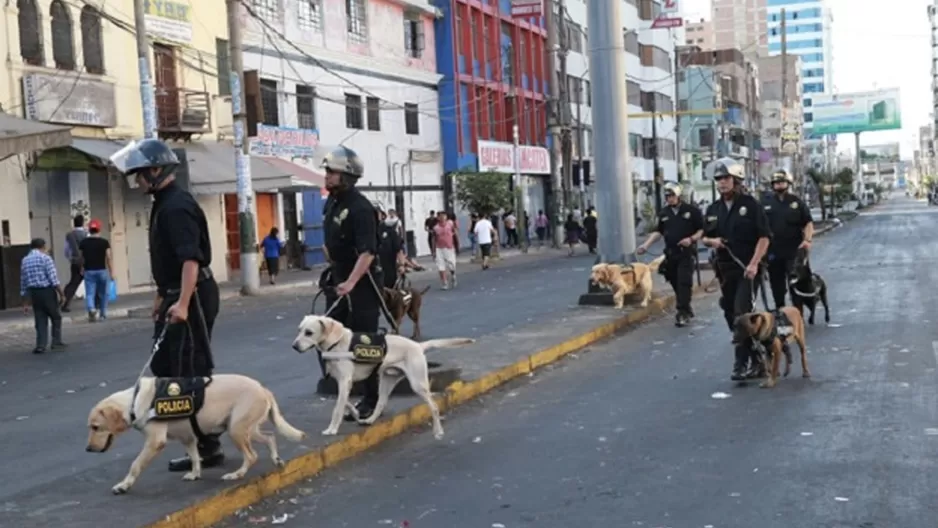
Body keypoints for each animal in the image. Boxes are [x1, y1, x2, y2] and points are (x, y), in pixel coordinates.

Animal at [84, 374, 304, 492]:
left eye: (95, 427)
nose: (88, 449)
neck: (133, 401)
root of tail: (262, 388)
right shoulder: (188, 437)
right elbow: (195, 457)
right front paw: (195, 474)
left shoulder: (155, 442)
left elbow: (135, 464)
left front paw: (124, 485)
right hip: (246, 429)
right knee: (270, 437)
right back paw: (276, 459)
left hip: (236, 430)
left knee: (252, 455)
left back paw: (236, 474)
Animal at [294, 316, 476, 440]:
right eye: (299, 330)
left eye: (309, 332)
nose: (294, 346)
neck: (336, 343)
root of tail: (418, 345)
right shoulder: (343, 382)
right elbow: (343, 402)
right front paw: (354, 411)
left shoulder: (345, 380)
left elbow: (337, 408)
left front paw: (332, 429)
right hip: (386, 381)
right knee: (381, 402)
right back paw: (369, 420)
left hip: (418, 384)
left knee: (434, 407)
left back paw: (438, 431)